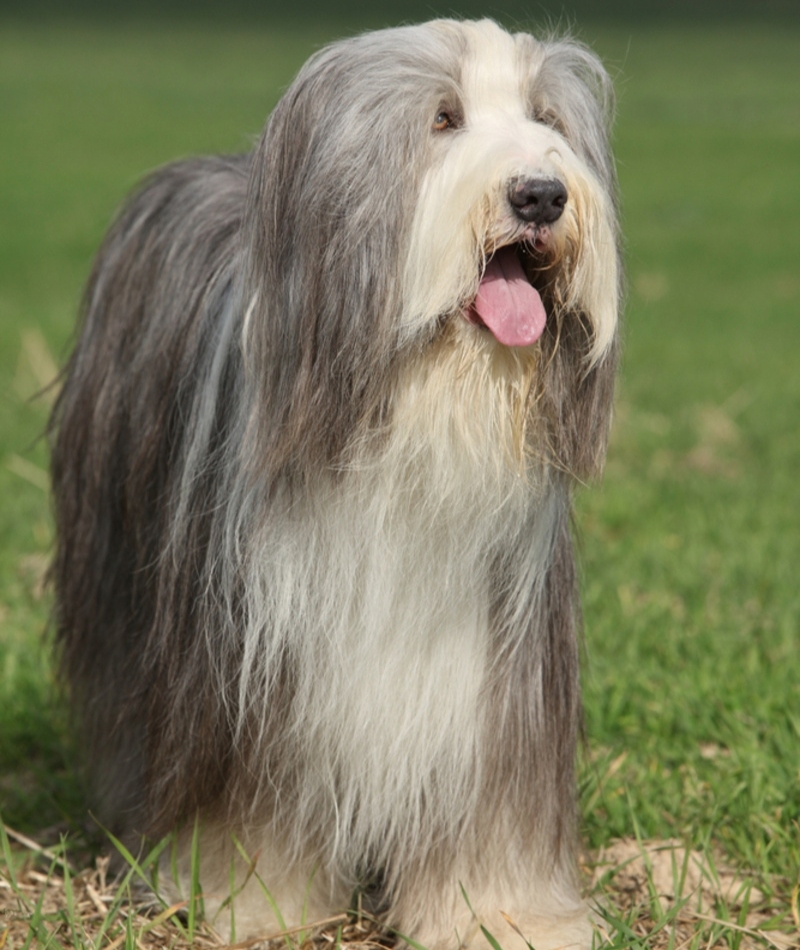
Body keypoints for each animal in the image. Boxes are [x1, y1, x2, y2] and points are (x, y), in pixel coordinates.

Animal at [50, 16, 620, 950]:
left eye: (547, 118)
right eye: (443, 118)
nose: (540, 195)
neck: (419, 412)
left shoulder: (492, 672)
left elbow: (488, 806)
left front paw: (501, 914)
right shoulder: (254, 655)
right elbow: (252, 807)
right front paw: (250, 903)